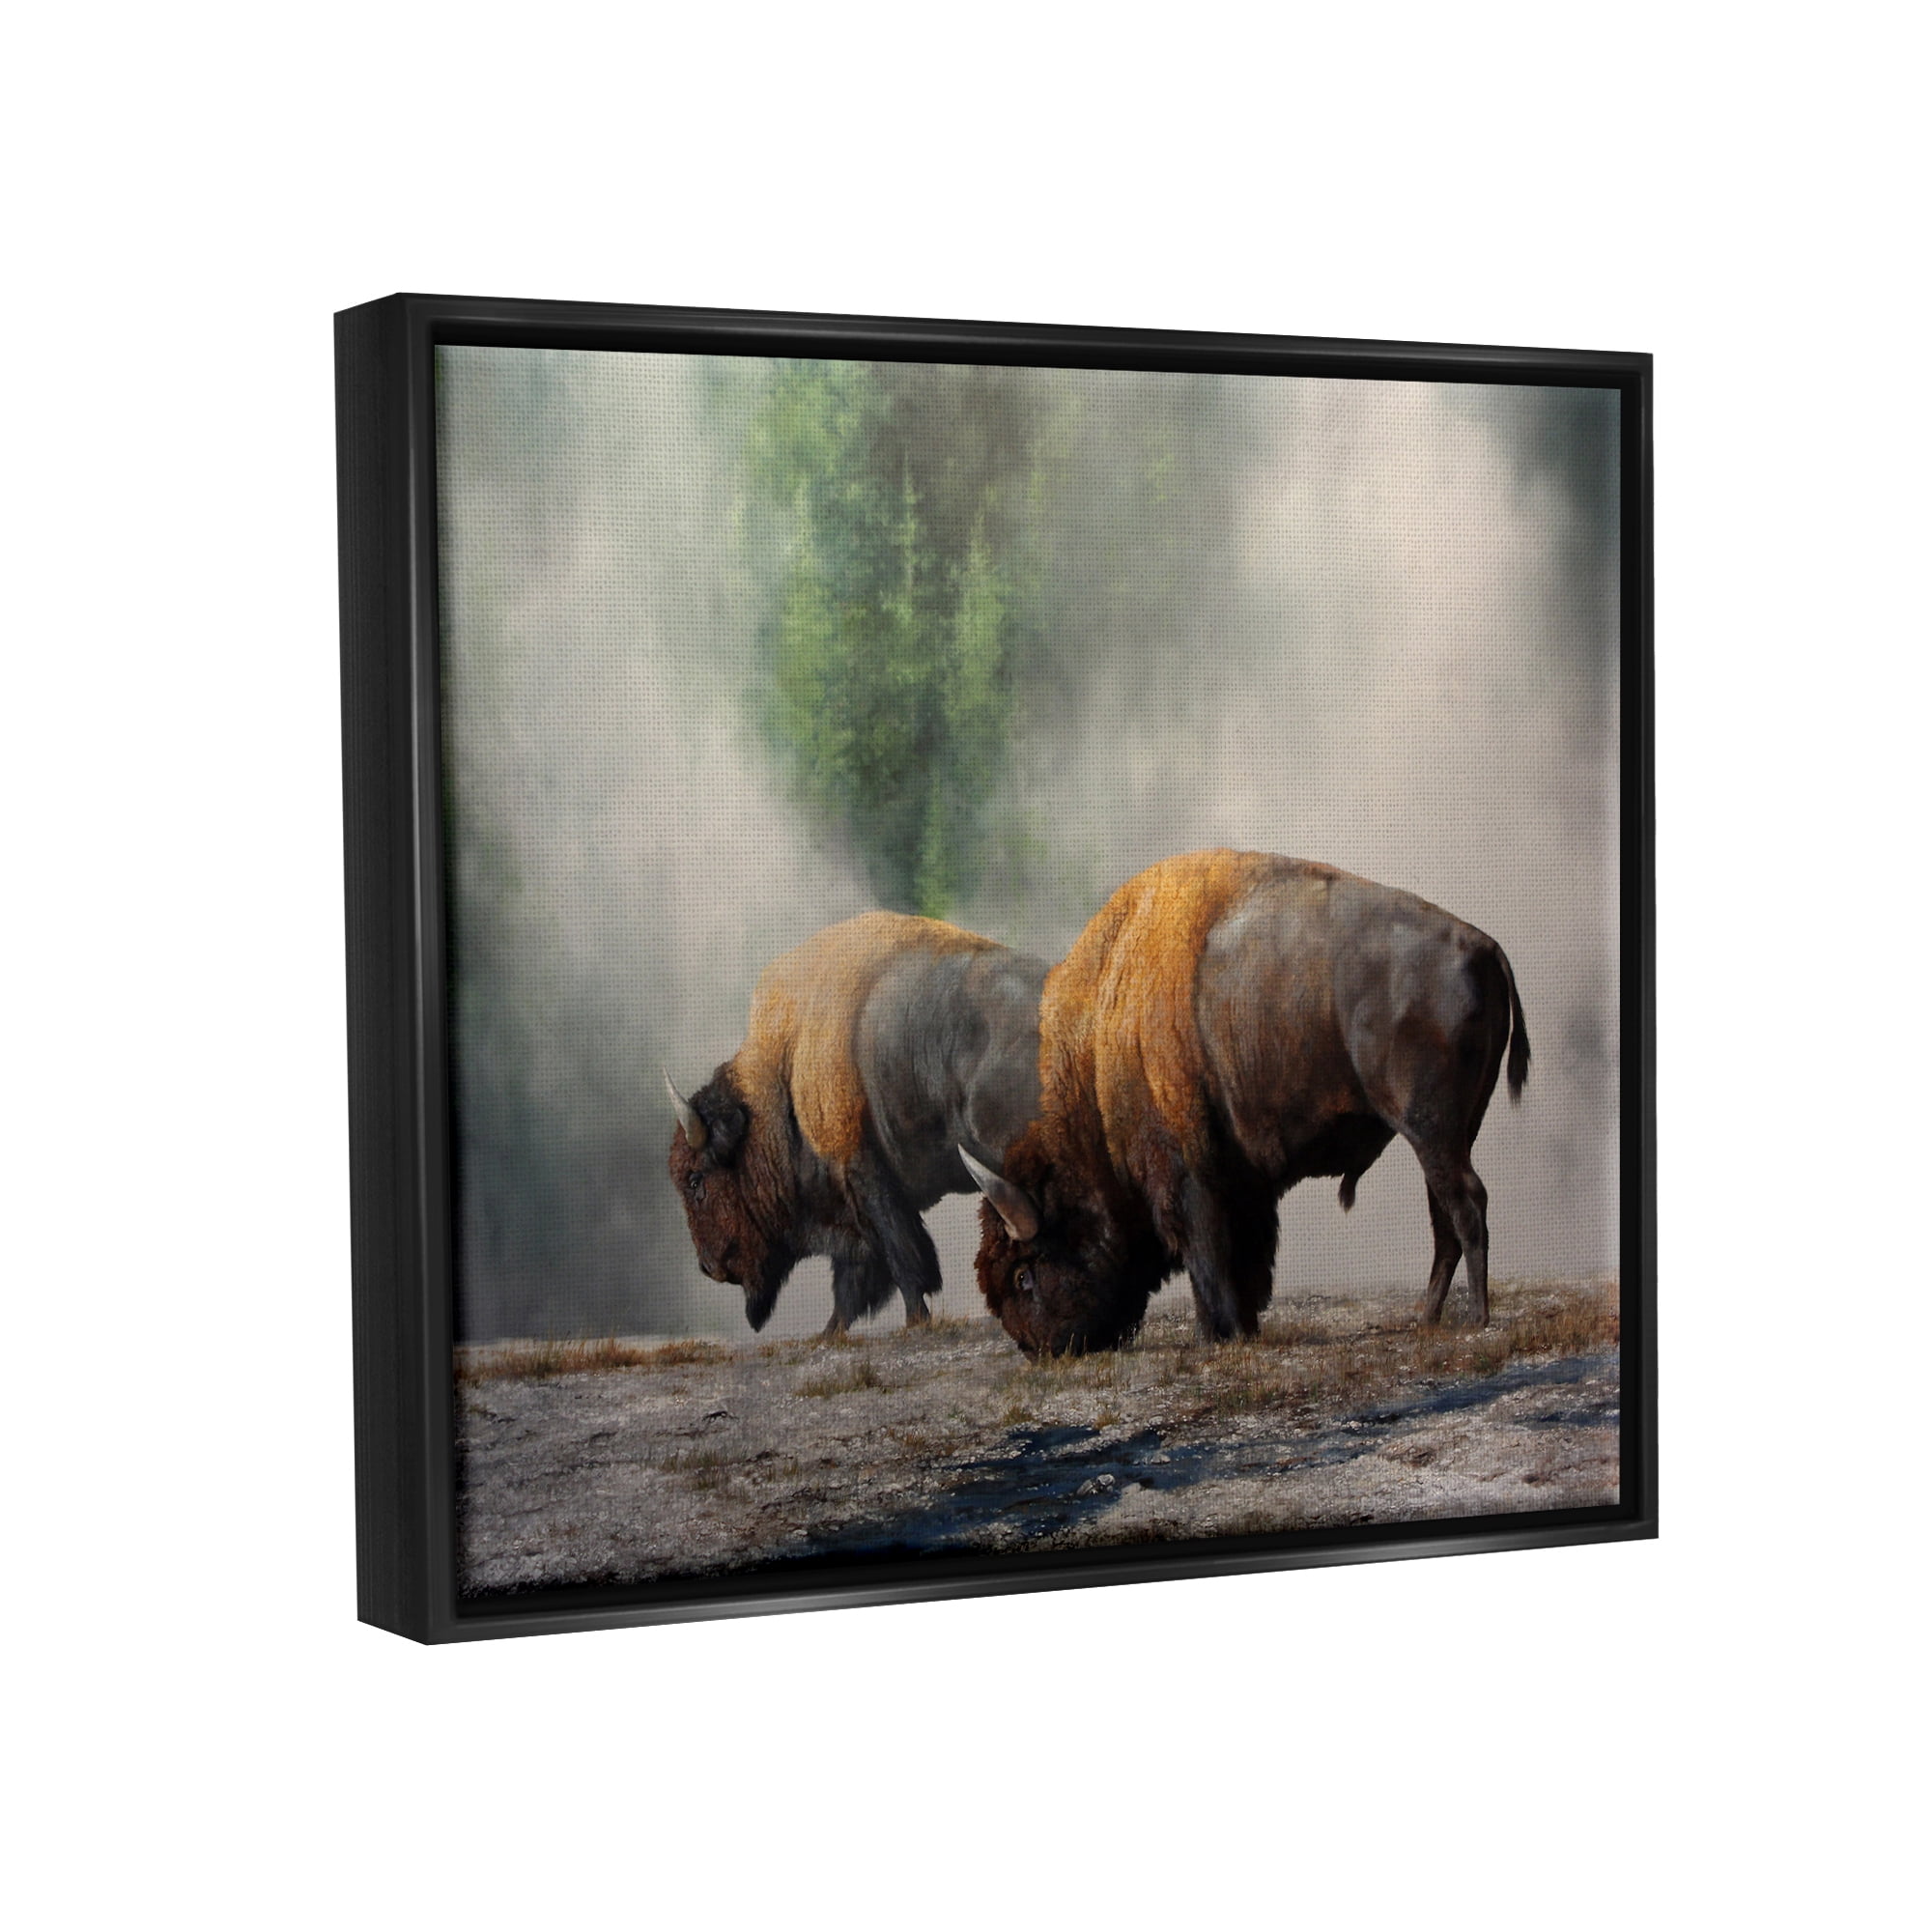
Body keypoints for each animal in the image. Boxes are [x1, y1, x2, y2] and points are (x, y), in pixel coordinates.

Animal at [667, 912, 1048, 1334]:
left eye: (695, 1180)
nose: (708, 1266)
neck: (784, 1077)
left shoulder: (868, 1181)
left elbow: (903, 1262)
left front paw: (915, 1319)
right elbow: (854, 1283)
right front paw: (831, 1330)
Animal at [963, 850, 1530, 1357]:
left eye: (1023, 1275)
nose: (1037, 1348)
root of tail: (1483, 945)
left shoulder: (1187, 1176)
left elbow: (1209, 1257)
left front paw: (1218, 1333)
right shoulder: (1241, 1181)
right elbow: (1246, 1256)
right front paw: (1246, 1327)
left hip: (1430, 1128)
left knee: (1466, 1204)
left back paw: (1476, 1317)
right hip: (1451, 1132)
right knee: (1445, 1214)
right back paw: (1429, 1318)